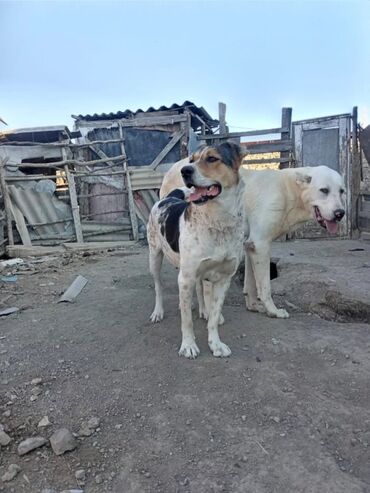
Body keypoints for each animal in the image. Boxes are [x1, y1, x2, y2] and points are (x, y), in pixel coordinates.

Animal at [147, 142, 246, 358]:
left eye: (212, 158)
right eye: (191, 160)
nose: (185, 170)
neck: (218, 222)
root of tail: (169, 197)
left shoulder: (224, 278)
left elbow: (214, 315)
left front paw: (215, 343)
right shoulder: (185, 278)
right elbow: (186, 320)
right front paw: (188, 346)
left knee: (200, 289)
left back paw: (203, 310)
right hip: (155, 258)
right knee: (158, 287)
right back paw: (158, 312)